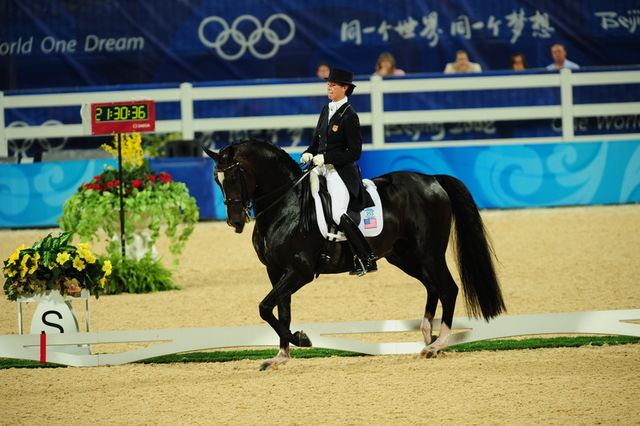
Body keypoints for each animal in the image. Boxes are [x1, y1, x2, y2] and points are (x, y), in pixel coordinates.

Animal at [203, 139, 505, 370]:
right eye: (216, 180)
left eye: (234, 176)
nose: (235, 222)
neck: (286, 206)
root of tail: (432, 180)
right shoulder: (276, 271)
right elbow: (281, 311)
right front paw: (281, 357)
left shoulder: (300, 272)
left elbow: (265, 307)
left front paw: (302, 340)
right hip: (404, 256)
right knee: (433, 287)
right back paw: (427, 337)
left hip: (429, 252)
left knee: (448, 288)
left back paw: (437, 344)